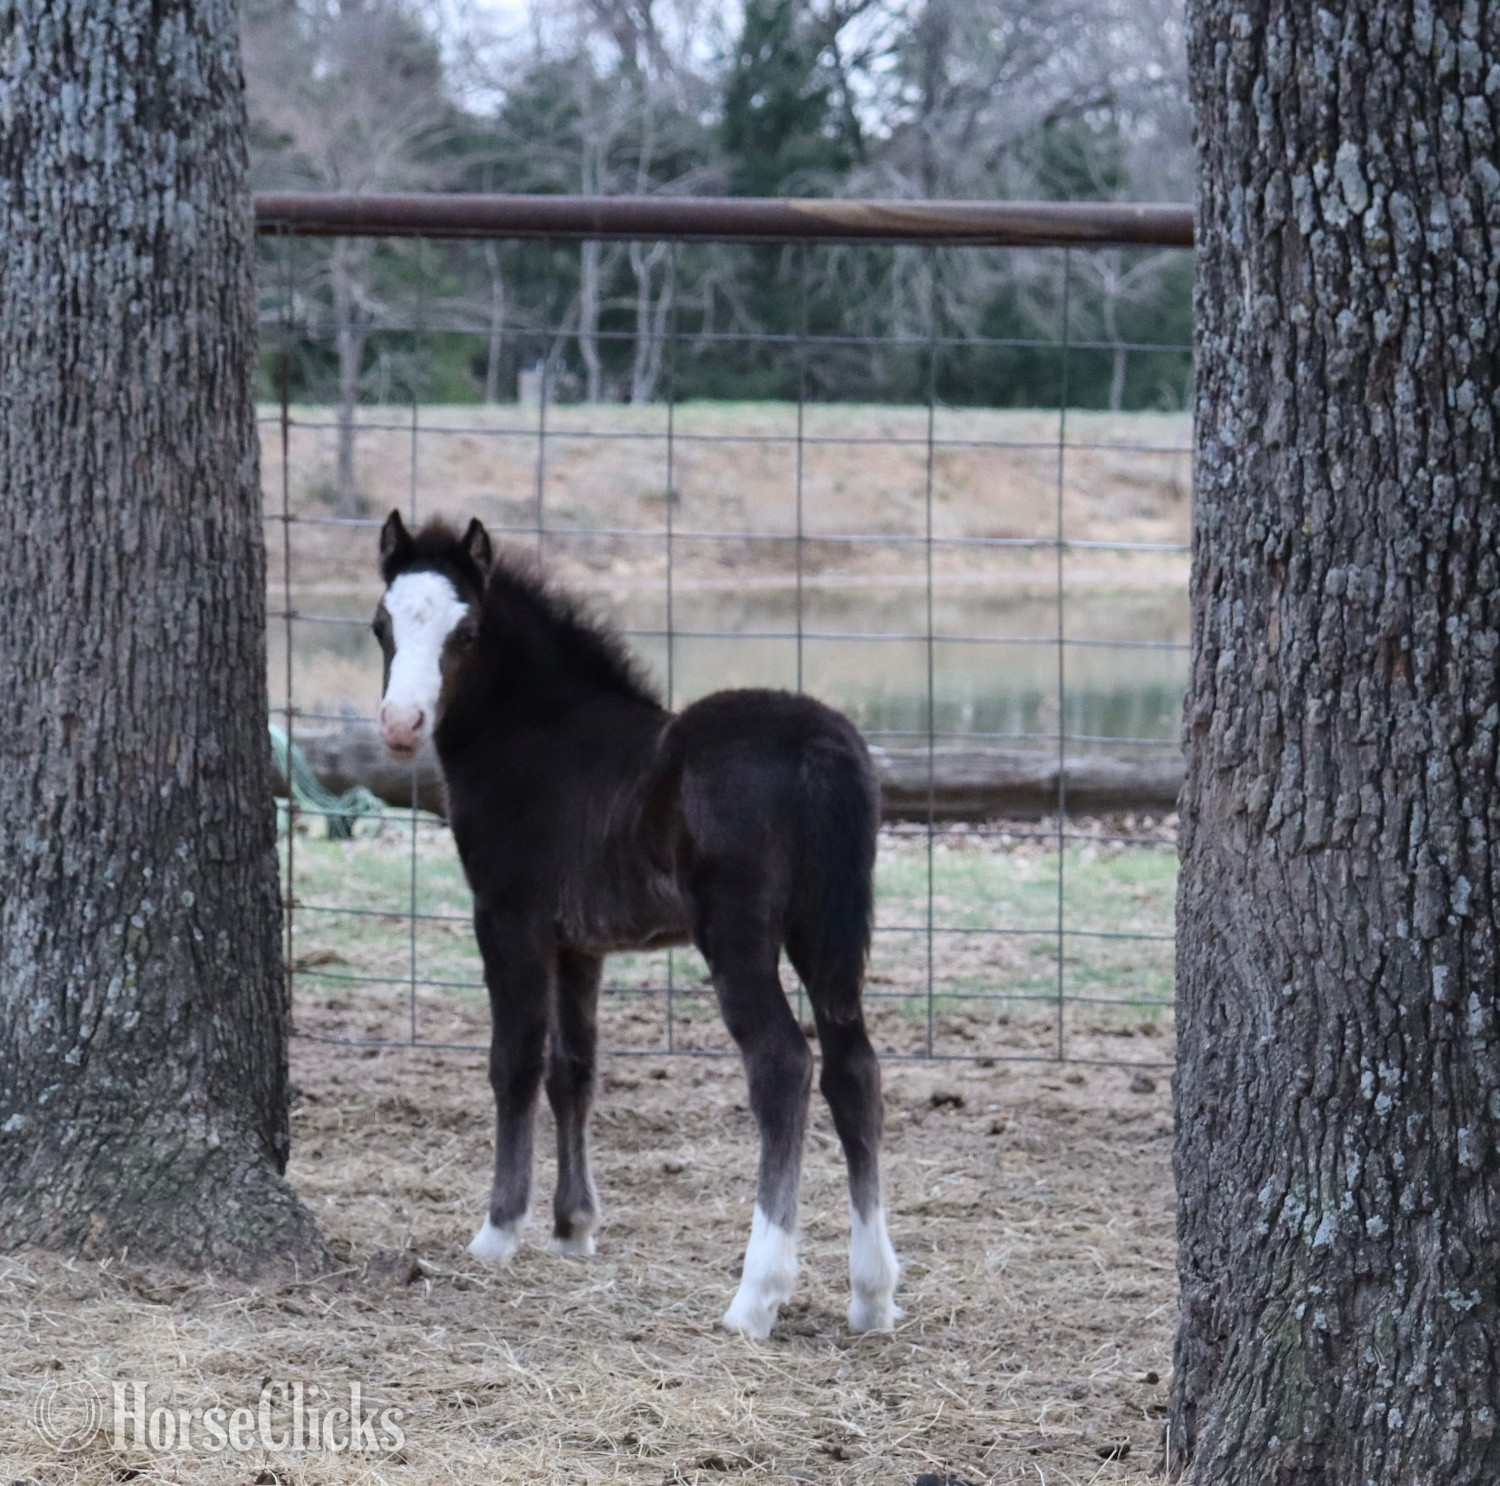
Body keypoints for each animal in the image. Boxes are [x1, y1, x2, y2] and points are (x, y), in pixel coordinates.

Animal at [370, 510, 900, 1339]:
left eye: (468, 629)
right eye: (381, 624)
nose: (400, 725)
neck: (538, 737)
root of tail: (821, 747)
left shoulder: (509, 919)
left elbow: (513, 1062)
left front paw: (498, 1231)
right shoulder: (580, 945)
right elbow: (574, 1069)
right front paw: (573, 1228)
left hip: (738, 936)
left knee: (783, 1066)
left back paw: (756, 1296)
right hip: (827, 932)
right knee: (855, 1068)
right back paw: (871, 1294)